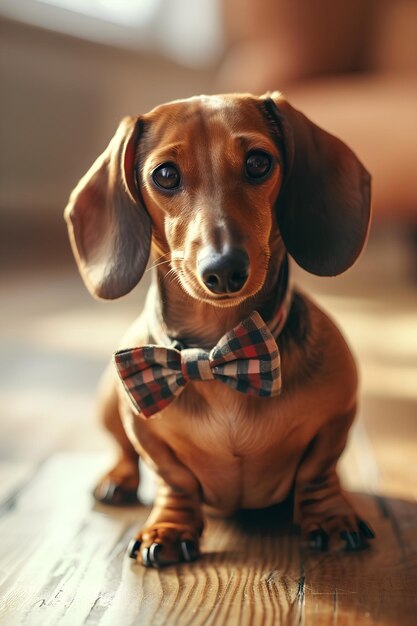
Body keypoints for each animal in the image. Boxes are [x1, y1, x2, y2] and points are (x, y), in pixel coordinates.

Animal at [64, 91, 370, 564]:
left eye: (259, 162)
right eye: (165, 175)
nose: (224, 270)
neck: (214, 353)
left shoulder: (338, 414)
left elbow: (319, 471)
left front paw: (331, 518)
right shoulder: (145, 429)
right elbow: (172, 478)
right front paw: (169, 529)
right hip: (109, 400)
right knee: (124, 453)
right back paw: (117, 480)